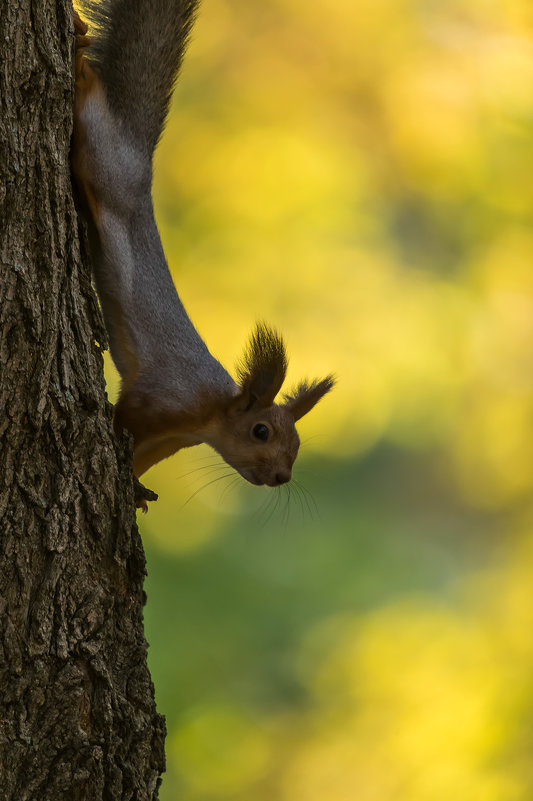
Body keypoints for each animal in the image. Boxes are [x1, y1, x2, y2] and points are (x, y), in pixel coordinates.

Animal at [72, 1, 334, 500]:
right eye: (260, 431)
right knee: (90, 99)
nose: (281, 477)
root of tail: (140, 154)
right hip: (106, 164)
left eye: (296, 444)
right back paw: (77, 50)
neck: (207, 416)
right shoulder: (159, 401)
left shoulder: (168, 439)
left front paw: (137, 493)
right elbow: (123, 419)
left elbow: (138, 464)